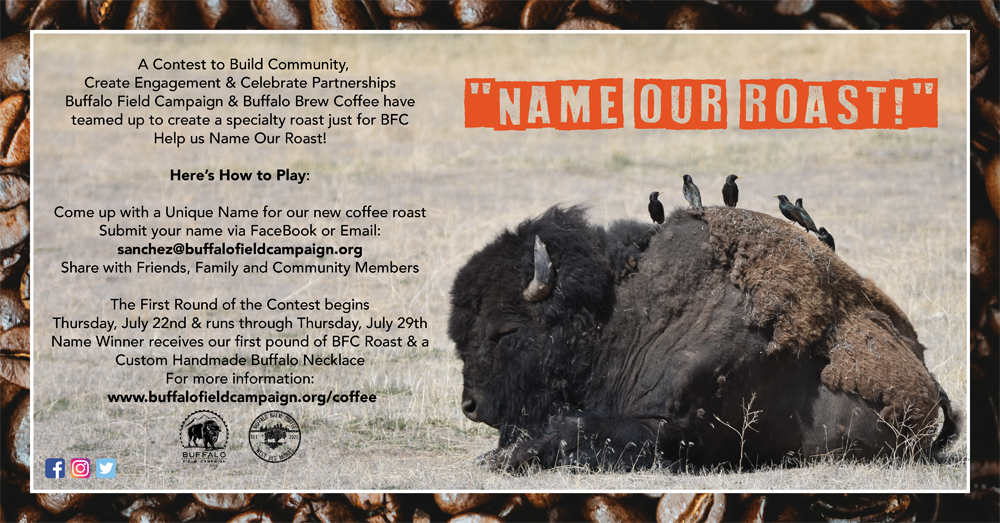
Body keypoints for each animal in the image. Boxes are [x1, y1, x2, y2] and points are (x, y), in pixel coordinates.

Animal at [449, 205, 958, 471]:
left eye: (505, 329)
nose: (471, 405)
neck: (616, 318)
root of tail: (929, 386)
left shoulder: (667, 427)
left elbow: (578, 429)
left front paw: (505, 458)